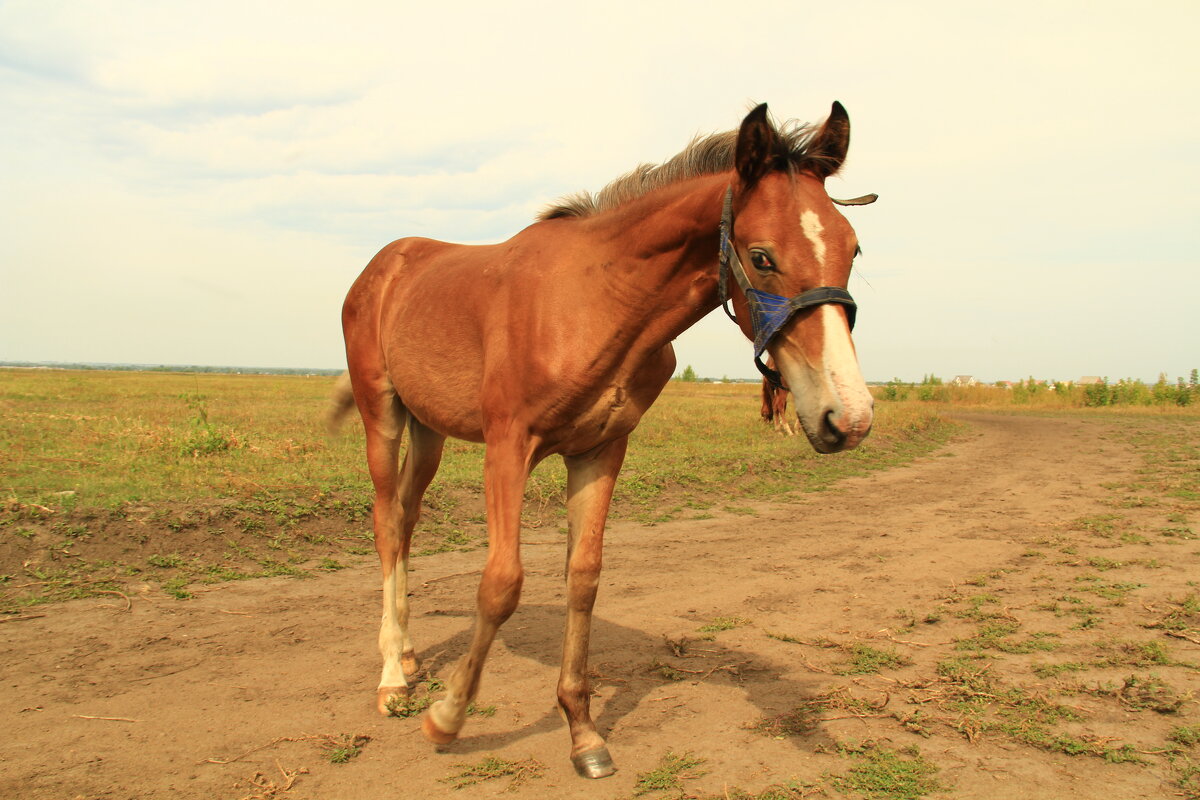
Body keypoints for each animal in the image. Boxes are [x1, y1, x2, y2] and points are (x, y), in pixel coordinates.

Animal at [333, 103, 878, 777]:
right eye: (761, 256)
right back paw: (392, 678)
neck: (597, 302)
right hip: (380, 412)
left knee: (407, 517)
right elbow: (501, 583)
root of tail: (382, 266)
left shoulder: (600, 449)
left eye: (852, 247)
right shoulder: (507, 446)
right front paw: (448, 716)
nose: (847, 416)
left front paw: (583, 731)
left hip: (428, 428)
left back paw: (409, 655)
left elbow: (584, 576)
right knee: (386, 521)